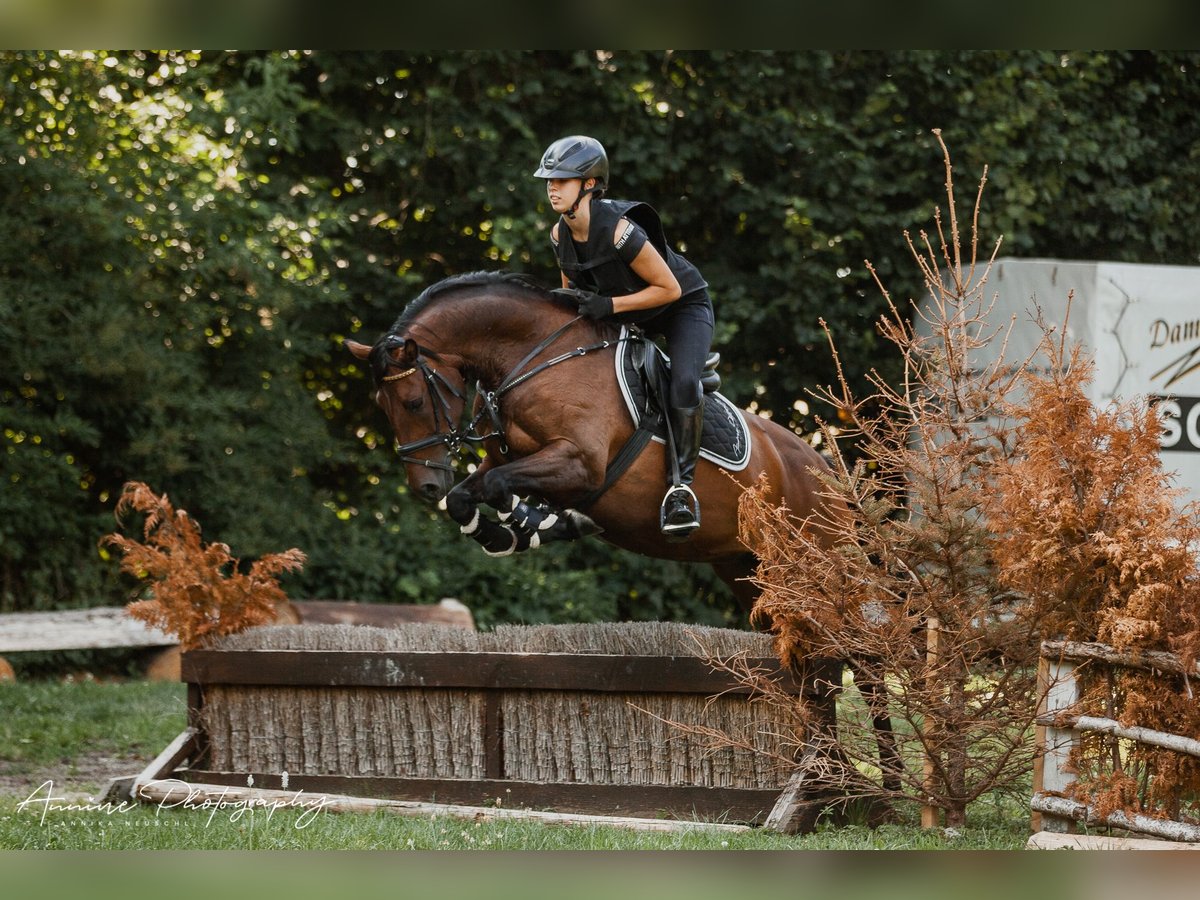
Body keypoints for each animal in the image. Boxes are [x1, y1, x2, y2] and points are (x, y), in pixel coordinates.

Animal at [343, 271, 840, 619]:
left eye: (412, 402)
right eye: (382, 406)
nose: (424, 486)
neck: (535, 357)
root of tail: (825, 468)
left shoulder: (580, 464)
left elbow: (501, 486)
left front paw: (534, 523)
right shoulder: (505, 459)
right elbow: (467, 496)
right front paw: (514, 532)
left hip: (806, 568)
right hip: (746, 568)